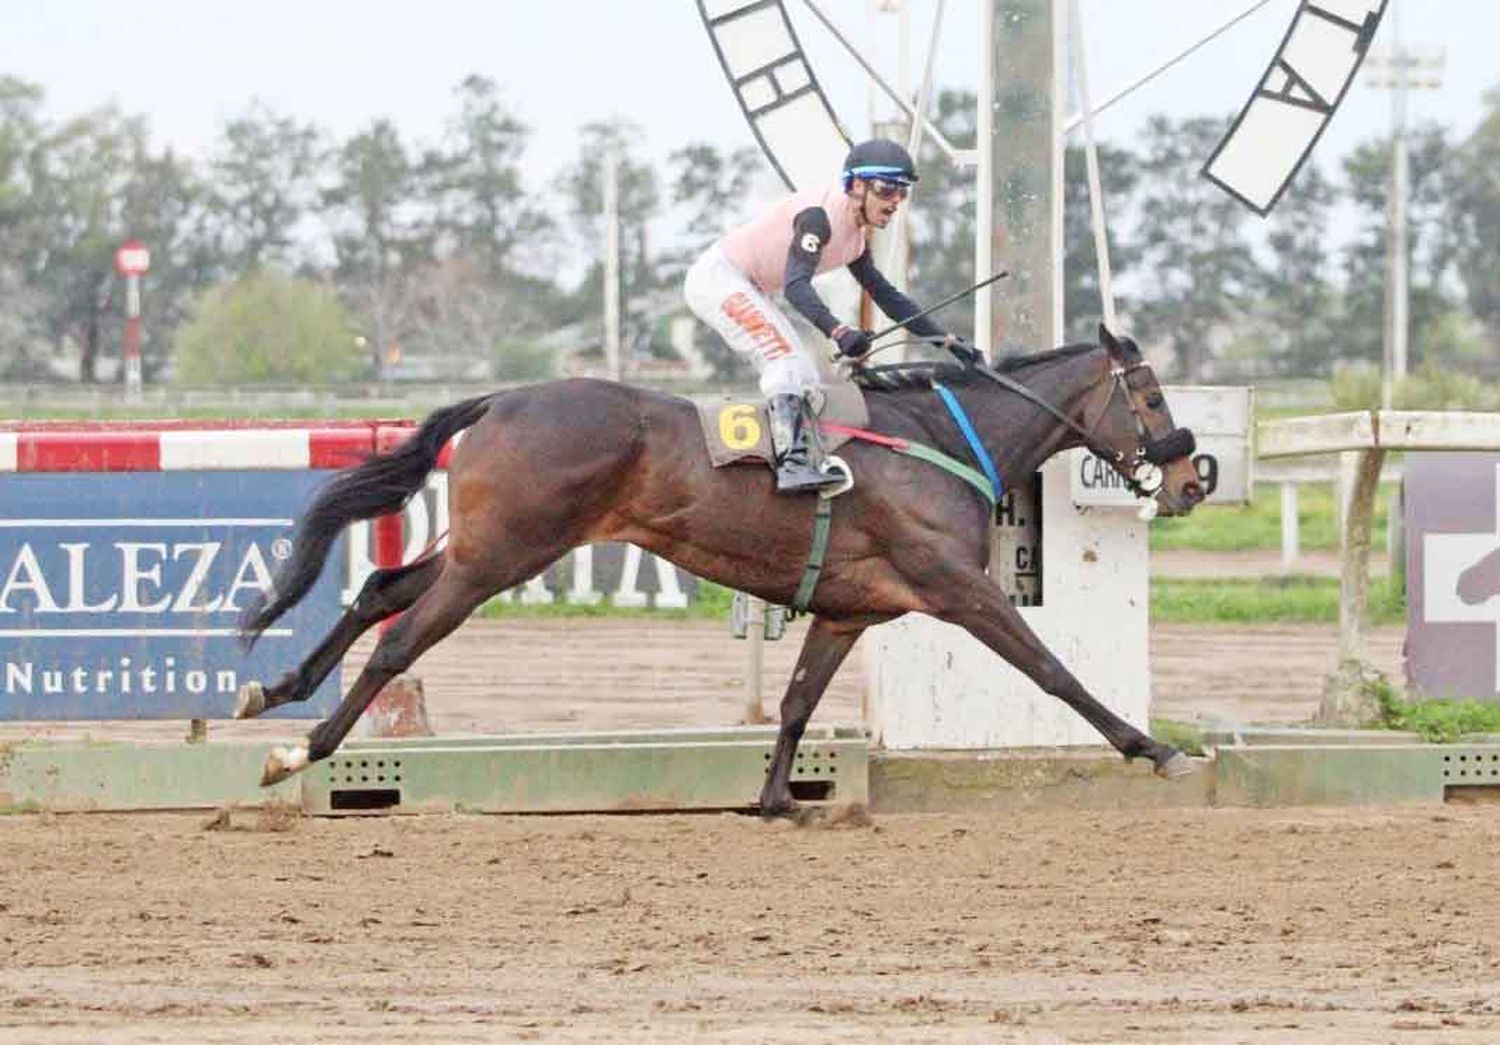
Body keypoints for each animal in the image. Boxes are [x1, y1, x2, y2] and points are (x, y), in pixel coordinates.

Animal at [243, 326, 1206, 815]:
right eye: (1154, 395)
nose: (1194, 478)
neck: (940, 441)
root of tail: (503, 399)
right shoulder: (956, 587)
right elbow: (1053, 670)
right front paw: (1154, 747)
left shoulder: (850, 610)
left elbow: (797, 701)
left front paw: (778, 796)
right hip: (505, 552)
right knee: (401, 639)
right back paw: (301, 750)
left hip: (488, 545)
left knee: (381, 591)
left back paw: (276, 690)